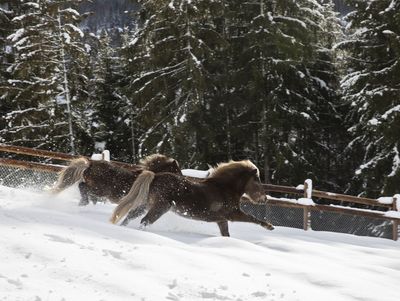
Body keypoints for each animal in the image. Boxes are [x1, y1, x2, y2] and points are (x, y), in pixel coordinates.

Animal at [52, 152, 181, 209]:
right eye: (177, 171)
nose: (181, 182)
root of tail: (90, 164)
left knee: (85, 190)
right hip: (99, 190)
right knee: (82, 187)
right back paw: (84, 202)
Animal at [108, 159, 272, 237]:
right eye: (257, 180)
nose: (264, 199)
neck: (223, 188)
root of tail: (155, 176)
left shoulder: (222, 220)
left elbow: (226, 235)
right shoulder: (232, 214)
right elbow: (252, 218)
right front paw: (269, 226)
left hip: (146, 205)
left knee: (130, 216)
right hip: (160, 207)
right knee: (144, 221)